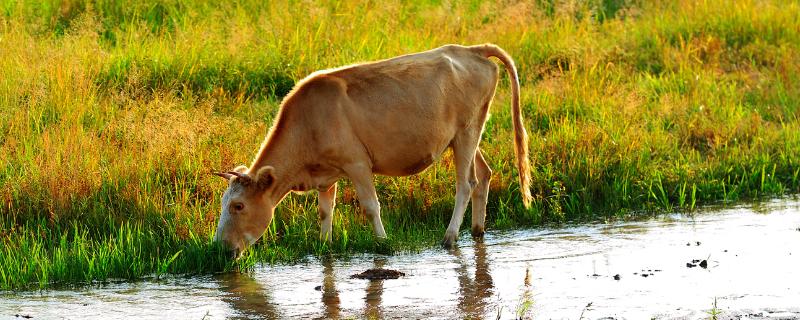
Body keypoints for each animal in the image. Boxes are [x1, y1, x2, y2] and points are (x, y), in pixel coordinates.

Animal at [212, 43, 532, 258]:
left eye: (237, 206)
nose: (220, 249)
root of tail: (472, 49)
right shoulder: (327, 174)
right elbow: (324, 211)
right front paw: (324, 245)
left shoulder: (357, 163)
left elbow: (370, 205)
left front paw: (382, 242)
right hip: (466, 133)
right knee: (484, 174)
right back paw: (477, 231)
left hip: (467, 131)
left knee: (466, 183)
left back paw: (450, 237)